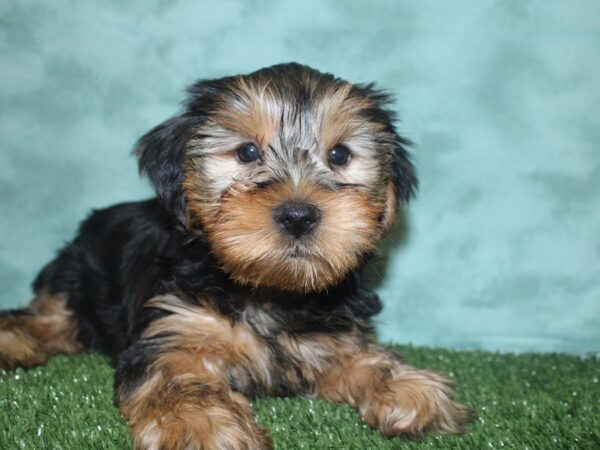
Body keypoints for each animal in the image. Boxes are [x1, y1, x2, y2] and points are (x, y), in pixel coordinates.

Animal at [0, 64, 468, 450]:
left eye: (339, 155)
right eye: (246, 152)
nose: (298, 215)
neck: (269, 290)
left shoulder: (334, 332)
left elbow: (362, 356)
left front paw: (407, 386)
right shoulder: (175, 327)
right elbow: (175, 376)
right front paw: (199, 424)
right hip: (79, 272)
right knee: (52, 315)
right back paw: (16, 339)